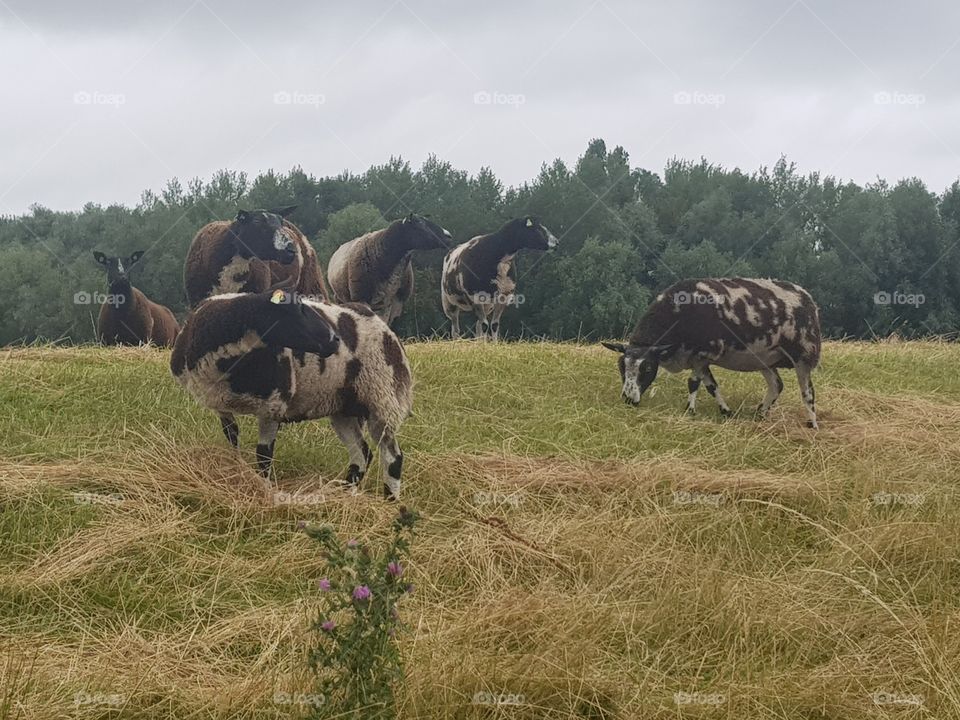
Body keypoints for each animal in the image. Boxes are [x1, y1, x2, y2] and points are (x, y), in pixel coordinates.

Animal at [170, 288, 414, 499]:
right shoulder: (220, 404)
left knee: (392, 456)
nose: (335, 339)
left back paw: (390, 501)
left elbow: (263, 456)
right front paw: (237, 472)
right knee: (362, 454)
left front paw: (265, 492)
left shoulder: (273, 404)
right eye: (297, 309)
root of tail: (383, 325)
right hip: (343, 406)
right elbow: (233, 442)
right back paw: (344, 495)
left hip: (382, 398)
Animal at [602, 278, 821, 428]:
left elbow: (693, 383)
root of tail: (806, 296)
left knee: (807, 392)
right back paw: (760, 414)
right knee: (776, 385)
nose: (628, 400)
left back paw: (812, 424)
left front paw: (689, 411)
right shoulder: (698, 359)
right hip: (763, 358)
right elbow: (711, 386)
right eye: (621, 367)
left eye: (647, 368)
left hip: (804, 354)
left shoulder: (703, 354)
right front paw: (726, 412)